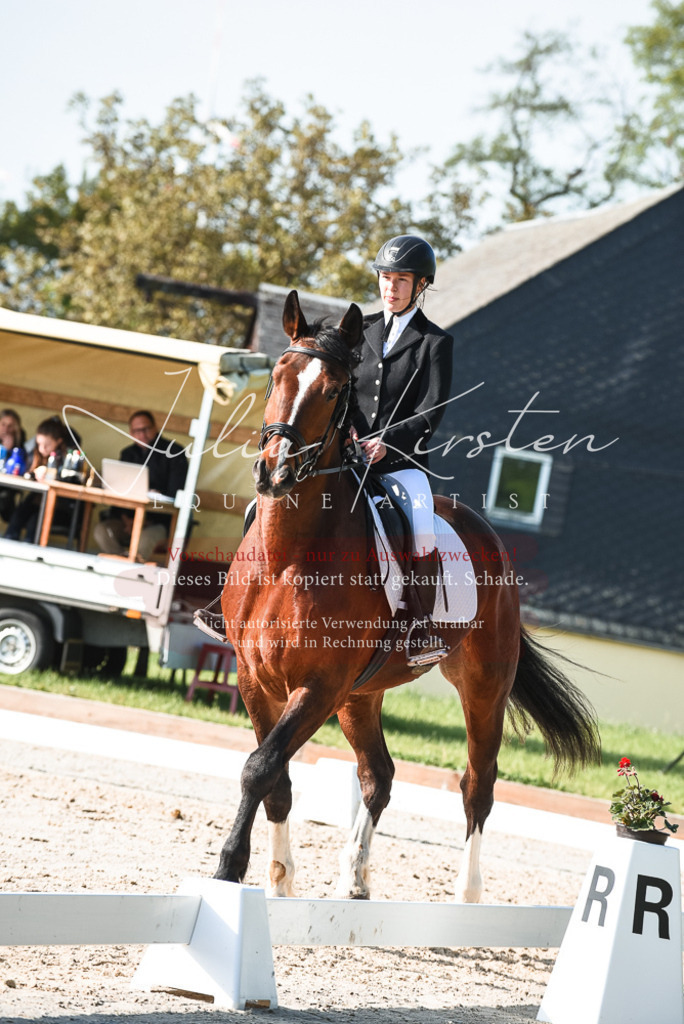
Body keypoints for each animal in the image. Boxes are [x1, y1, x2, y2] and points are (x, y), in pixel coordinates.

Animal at [213, 289, 600, 902]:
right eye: (276, 375)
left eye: (333, 391)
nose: (274, 472)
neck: (288, 555)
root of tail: (487, 534)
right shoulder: (256, 680)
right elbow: (275, 779)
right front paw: (278, 882)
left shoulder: (318, 686)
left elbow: (260, 767)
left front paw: (229, 870)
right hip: (361, 696)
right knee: (379, 774)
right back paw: (354, 877)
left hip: (482, 687)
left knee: (478, 785)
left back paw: (467, 895)